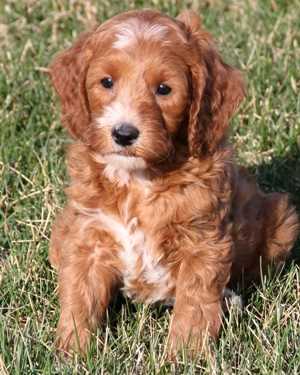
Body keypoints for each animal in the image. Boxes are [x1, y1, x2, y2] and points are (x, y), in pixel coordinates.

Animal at [48, 10, 298, 358]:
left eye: (164, 89)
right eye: (107, 82)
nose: (124, 133)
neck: (138, 179)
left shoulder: (202, 243)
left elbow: (194, 306)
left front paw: (183, 357)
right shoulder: (88, 235)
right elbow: (80, 295)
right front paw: (72, 352)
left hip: (282, 222)